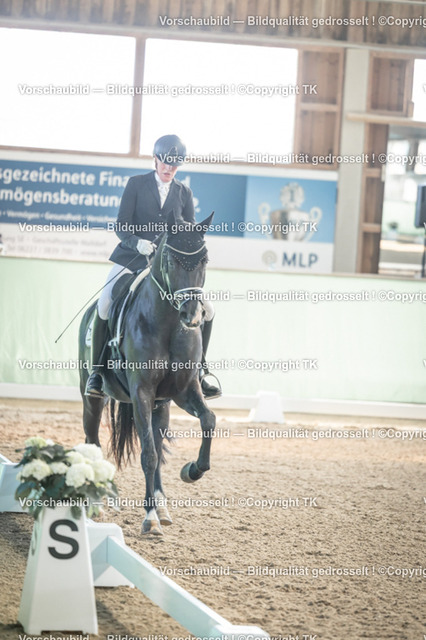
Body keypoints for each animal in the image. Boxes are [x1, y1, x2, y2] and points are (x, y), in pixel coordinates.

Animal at [78, 210, 216, 535]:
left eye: (204, 260)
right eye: (170, 260)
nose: (192, 316)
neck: (168, 325)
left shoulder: (184, 391)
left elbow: (208, 421)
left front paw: (192, 470)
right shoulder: (141, 391)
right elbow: (149, 454)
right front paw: (150, 517)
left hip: (160, 406)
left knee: (157, 440)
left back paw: (162, 504)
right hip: (93, 399)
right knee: (93, 439)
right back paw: (98, 502)